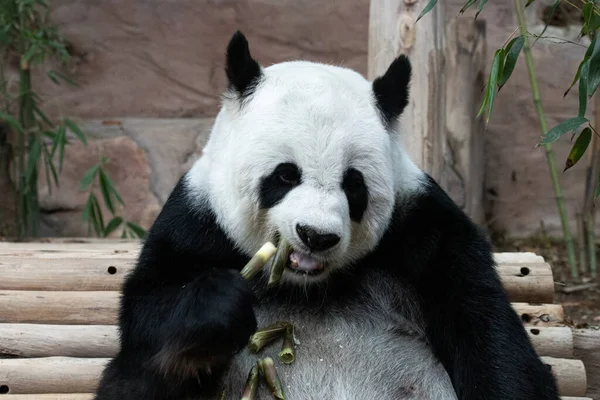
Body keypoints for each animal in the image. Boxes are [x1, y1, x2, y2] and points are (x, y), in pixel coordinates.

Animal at [92, 32, 556, 400]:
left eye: (353, 185)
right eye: (285, 174)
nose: (315, 236)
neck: (306, 286)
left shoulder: (425, 228)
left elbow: (491, 338)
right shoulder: (196, 222)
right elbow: (146, 307)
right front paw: (221, 303)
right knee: (136, 376)